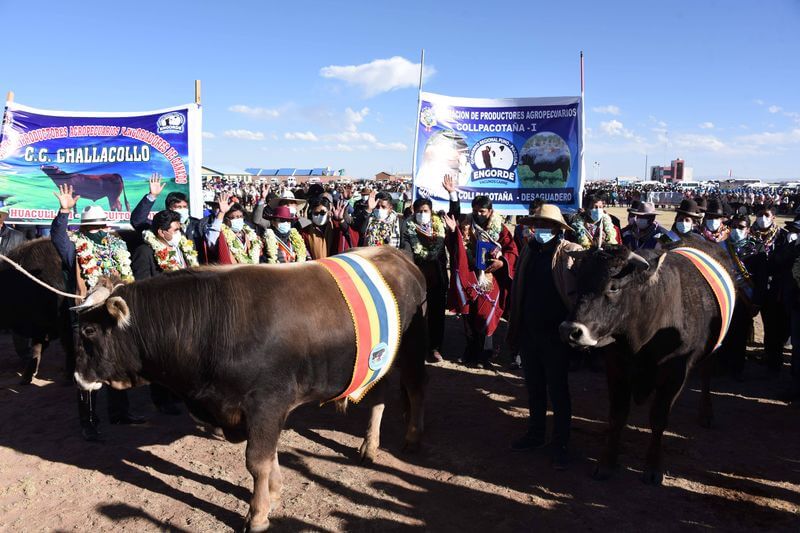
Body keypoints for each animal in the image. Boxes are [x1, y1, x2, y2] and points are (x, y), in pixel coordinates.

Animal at [72, 247, 428, 528]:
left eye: (89, 330)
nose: (77, 376)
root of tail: (395, 252)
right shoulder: (257, 411)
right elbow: (270, 457)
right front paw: (274, 492)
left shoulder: (267, 403)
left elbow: (257, 460)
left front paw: (257, 515)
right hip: (377, 360)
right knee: (378, 395)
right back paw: (369, 446)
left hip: (411, 346)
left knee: (415, 388)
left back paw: (412, 438)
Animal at [560, 239, 736, 484]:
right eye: (579, 281)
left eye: (613, 287)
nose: (570, 331)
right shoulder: (616, 368)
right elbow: (617, 416)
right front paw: (606, 463)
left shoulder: (674, 374)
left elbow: (658, 419)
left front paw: (653, 468)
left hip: (714, 348)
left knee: (706, 375)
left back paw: (706, 414)